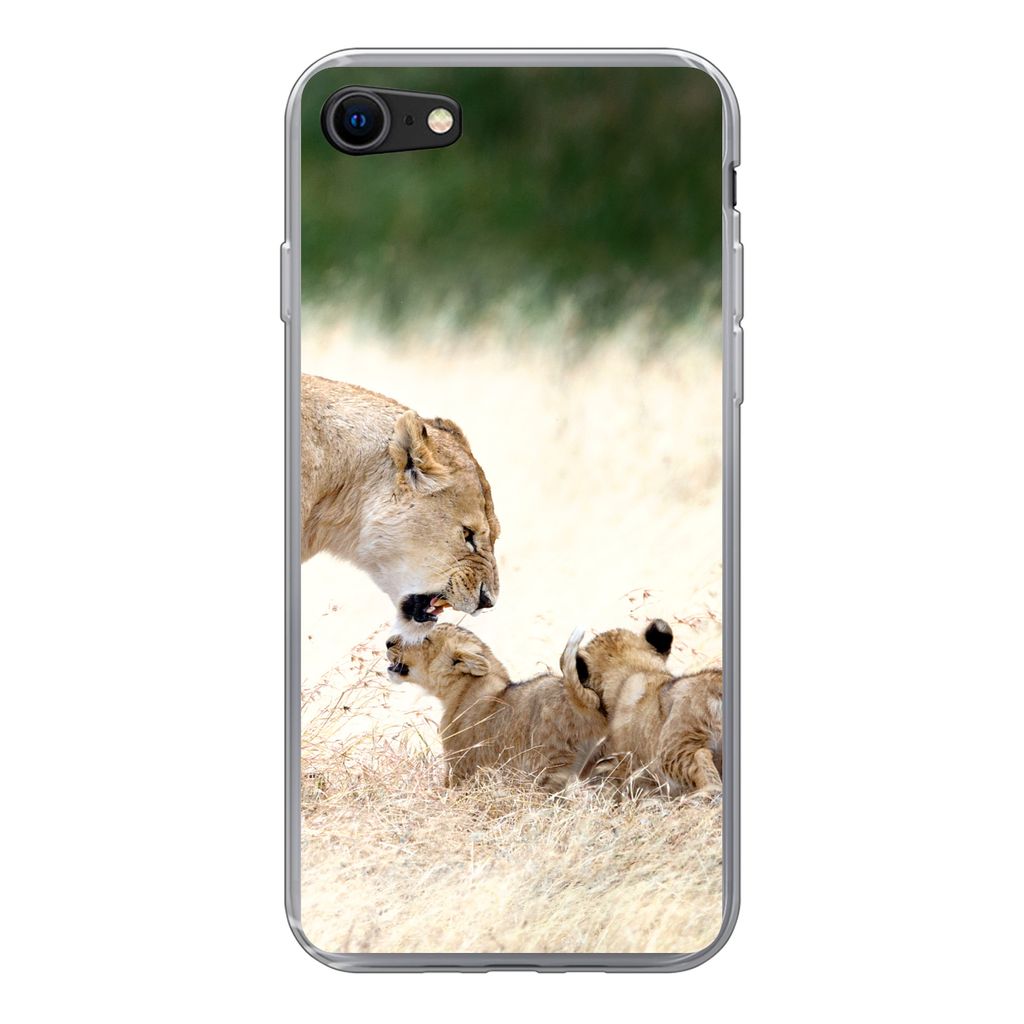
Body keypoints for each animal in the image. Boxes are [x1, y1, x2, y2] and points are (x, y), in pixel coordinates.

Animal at [385, 624, 607, 790]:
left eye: (424, 639)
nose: (388, 642)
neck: (463, 687)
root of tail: (582, 697)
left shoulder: (460, 766)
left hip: (547, 766)